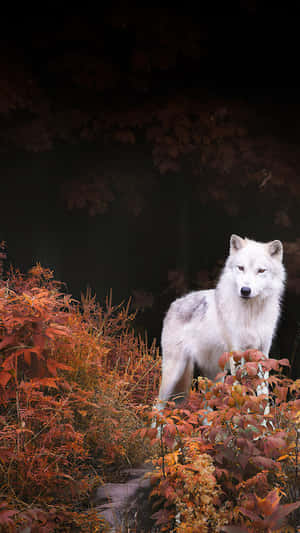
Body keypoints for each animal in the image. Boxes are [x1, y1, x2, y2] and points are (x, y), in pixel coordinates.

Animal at [158, 233, 284, 404]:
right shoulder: (236, 354)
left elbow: (262, 395)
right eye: (241, 268)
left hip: (213, 377)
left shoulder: (262, 355)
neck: (250, 314)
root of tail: (175, 303)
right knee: (156, 405)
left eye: (261, 271)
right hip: (174, 373)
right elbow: (241, 390)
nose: (245, 290)